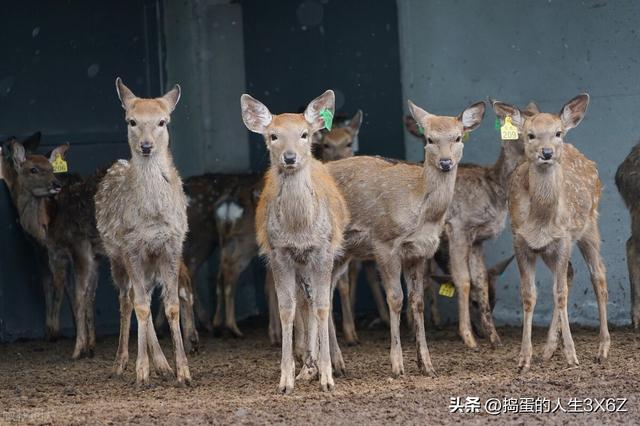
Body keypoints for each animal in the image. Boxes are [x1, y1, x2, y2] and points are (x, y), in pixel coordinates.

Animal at [94, 77, 190, 386]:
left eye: (162, 121)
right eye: (132, 121)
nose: (146, 146)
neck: (152, 217)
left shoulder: (172, 245)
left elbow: (170, 305)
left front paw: (183, 372)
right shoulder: (132, 246)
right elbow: (141, 307)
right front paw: (141, 372)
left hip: (150, 262)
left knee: (143, 296)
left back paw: (163, 365)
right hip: (116, 257)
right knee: (128, 301)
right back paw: (121, 363)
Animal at [241, 89, 350, 392]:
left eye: (304, 134)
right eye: (273, 136)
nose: (290, 158)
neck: (299, 230)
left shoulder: (323, 250)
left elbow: (323, 306)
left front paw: (327, 377)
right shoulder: (280, 253)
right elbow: (287, 310)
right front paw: (286, 379)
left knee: (315, 301)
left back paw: (326, 364)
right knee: (304, 302)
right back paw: (306, 365)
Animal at [324, 99, 484, 376]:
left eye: (457, 137)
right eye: (429, 138)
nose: (445, 162)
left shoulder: (419, 252)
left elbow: (417, 301)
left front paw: (427, 365)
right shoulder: (384, 244)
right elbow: (396, 298)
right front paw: (397, 365)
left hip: (343, 253)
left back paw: (336, 364)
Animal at [496, 94, 608, 372]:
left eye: (557, 133)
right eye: (530, 135)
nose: (546, 152)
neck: (540, 221)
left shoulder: (564, 239)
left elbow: (560, 294)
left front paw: (572, 355)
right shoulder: (520, 241)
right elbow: (529, 295)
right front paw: (524, 358)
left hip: (590, 225)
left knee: (598, 276)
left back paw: (602, 349)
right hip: (548, 250)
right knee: (570, 272)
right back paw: (547, 349)